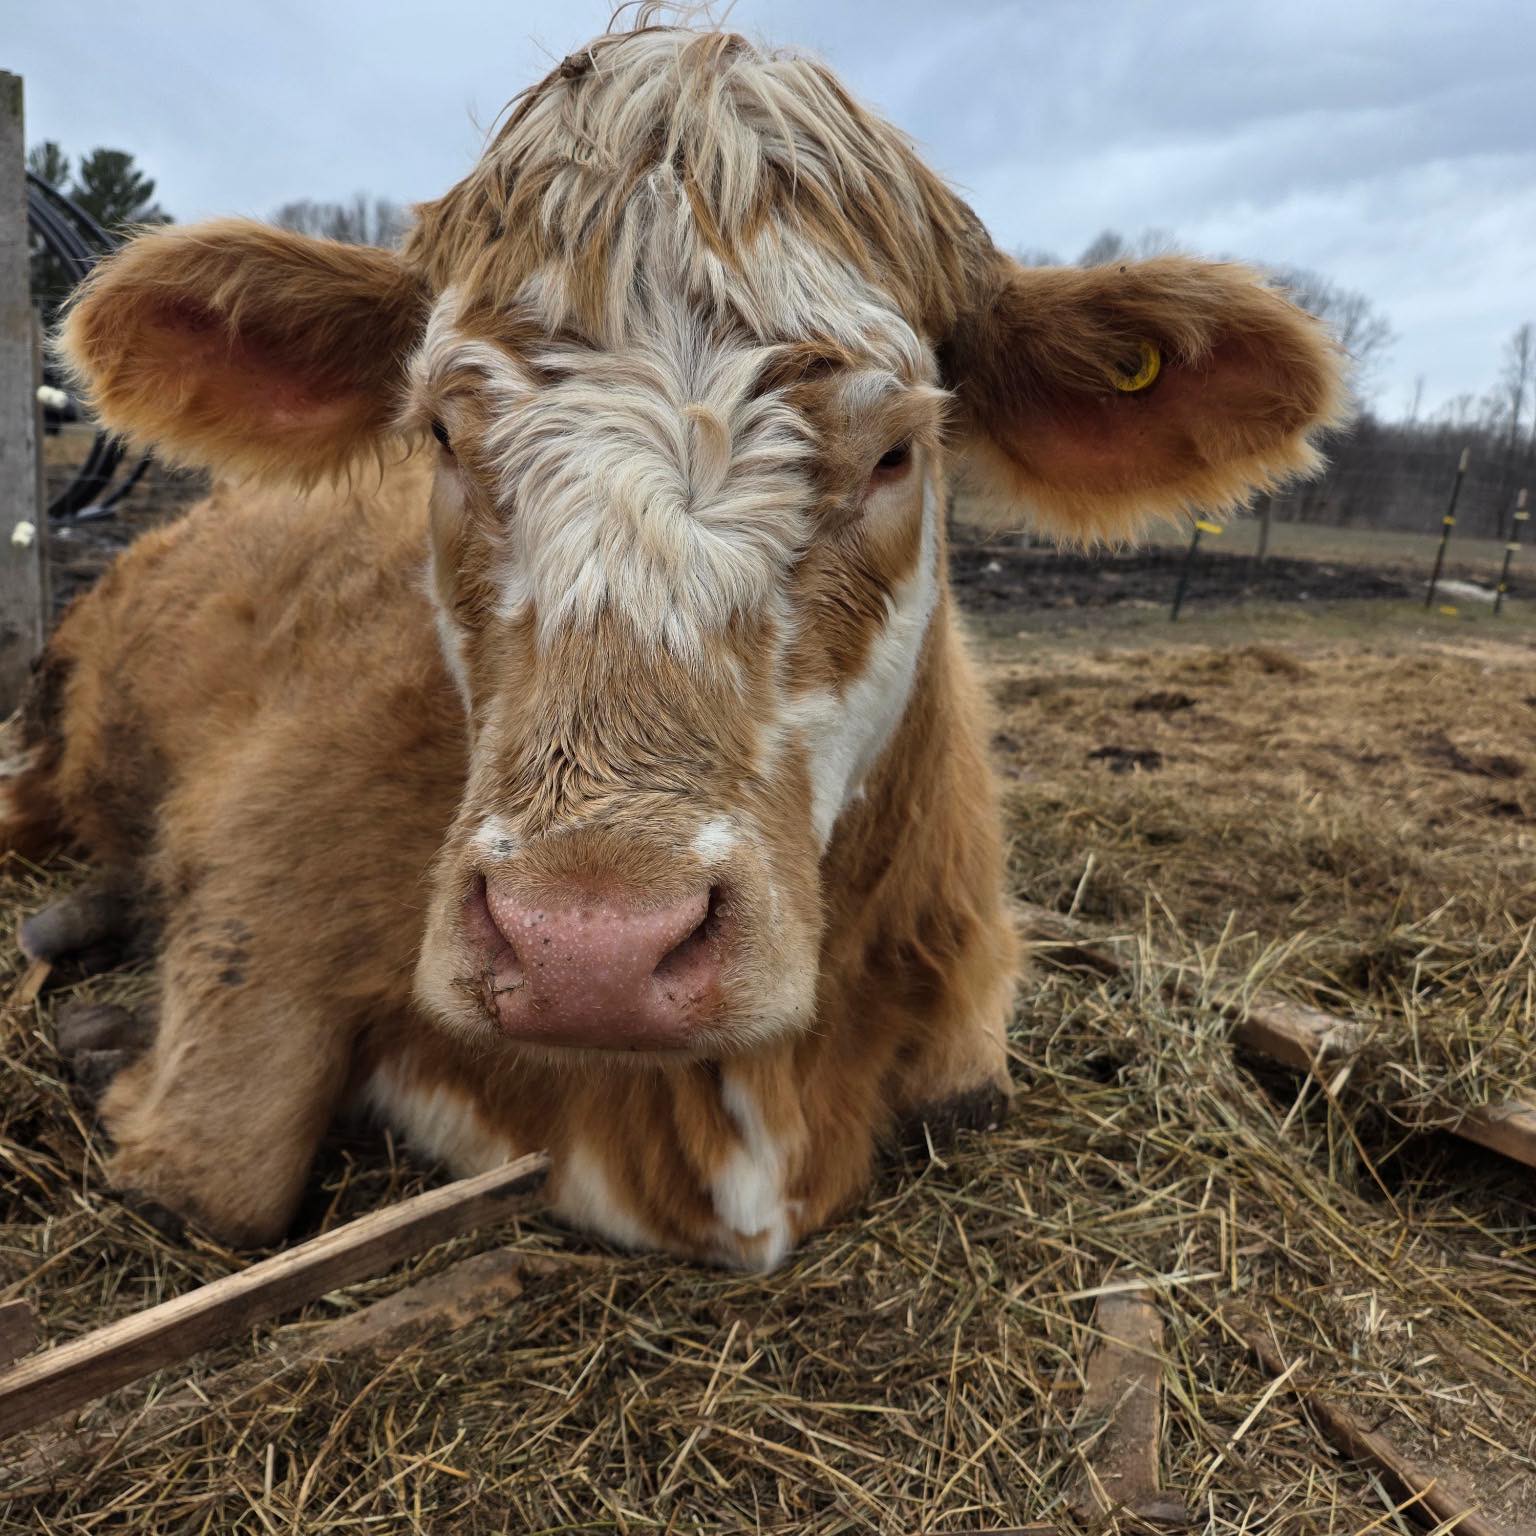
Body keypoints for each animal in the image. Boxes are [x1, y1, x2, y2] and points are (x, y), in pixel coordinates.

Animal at [4, 22, 1343, 1268]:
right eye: (437, 432)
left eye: (898, 452)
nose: (589, 950)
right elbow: (223, 1177)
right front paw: (107, 1044)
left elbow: (968, 1096)